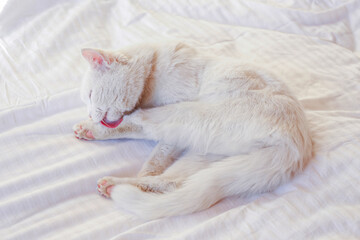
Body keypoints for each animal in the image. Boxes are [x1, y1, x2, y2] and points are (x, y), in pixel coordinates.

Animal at [73, 40, 312, 219]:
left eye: (91, 95)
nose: (90, 115)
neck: (151, 71)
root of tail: (296, 144)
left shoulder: (173, 122)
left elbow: (141, 132)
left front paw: (95, 126)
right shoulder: (176, 136)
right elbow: (153, 149)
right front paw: (92, 129)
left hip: (185, 113)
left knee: (144, 123)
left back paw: (113, 183)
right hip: (206, 154)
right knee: (171, 182)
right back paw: (118, 182)